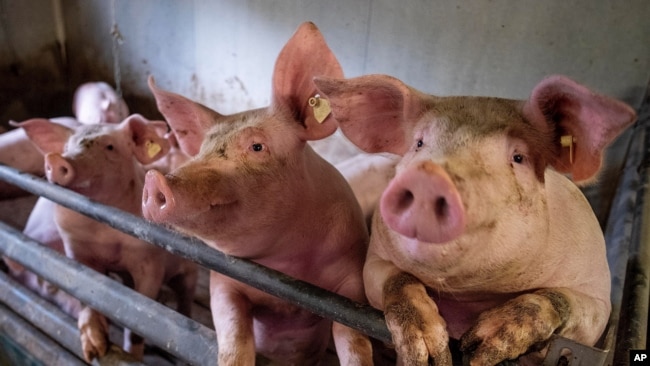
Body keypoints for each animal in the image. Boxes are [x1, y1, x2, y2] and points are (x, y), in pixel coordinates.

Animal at [17, 115, 197, 364]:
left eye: (110, 147)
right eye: (66, 147)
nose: (57, 159)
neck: (103, 230)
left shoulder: (150, 263)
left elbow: (141, 321)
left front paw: (131, 357)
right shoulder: (76, 250)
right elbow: (87, 295)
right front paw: (95, 350)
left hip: (189, 274)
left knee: (185, 302)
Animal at [142, 21, 372, 364]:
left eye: (257, 147)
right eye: (203, 149)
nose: (155, 179)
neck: (287, 270)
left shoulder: (352, 288)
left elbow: (355, 341)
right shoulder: (223, 280)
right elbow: (234, 335)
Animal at [312, 73, 632, 364]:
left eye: (519, 158)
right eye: (419, 143)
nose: (428, 176)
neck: (469, 296)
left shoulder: (598, 295)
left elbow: (569, 305)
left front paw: (480, 349)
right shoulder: (375, 258)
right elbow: (393, 279)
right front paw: (430, 354)